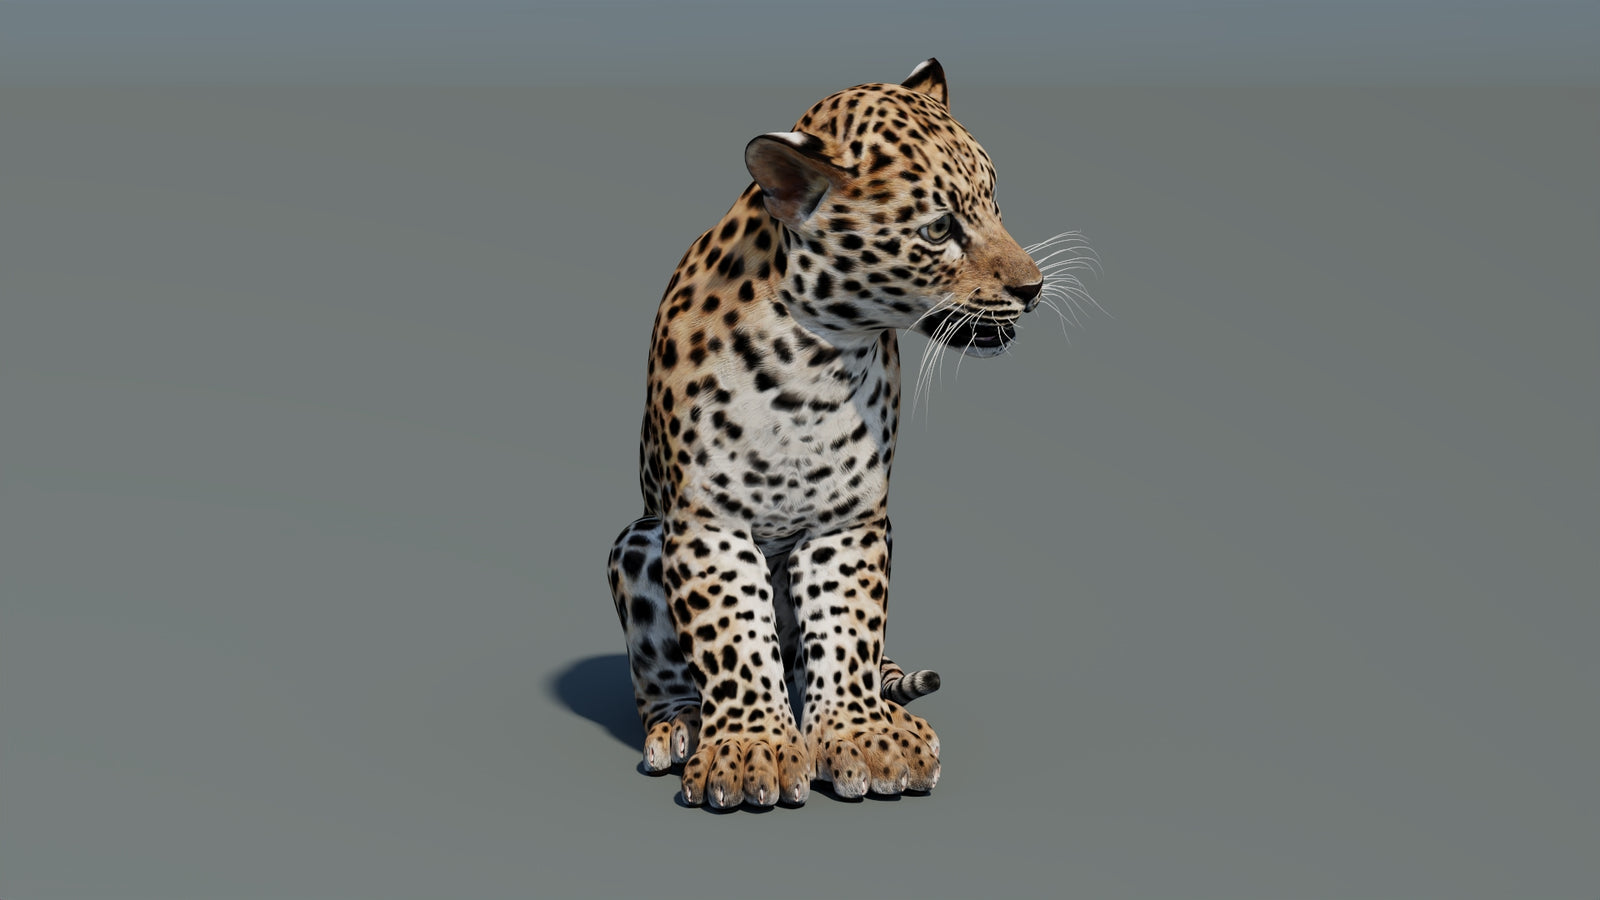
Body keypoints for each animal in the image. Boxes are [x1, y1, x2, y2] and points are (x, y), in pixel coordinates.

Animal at [605, 58, 1092, 809]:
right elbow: (733, 637)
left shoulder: (848, 519)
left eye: (994, 205)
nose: (1034, 289)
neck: (814, 362)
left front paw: (864, 739)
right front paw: (749, 749)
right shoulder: (710, 521)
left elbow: (844, 628)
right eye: (939, 229)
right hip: (637, 540)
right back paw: (682, 724)